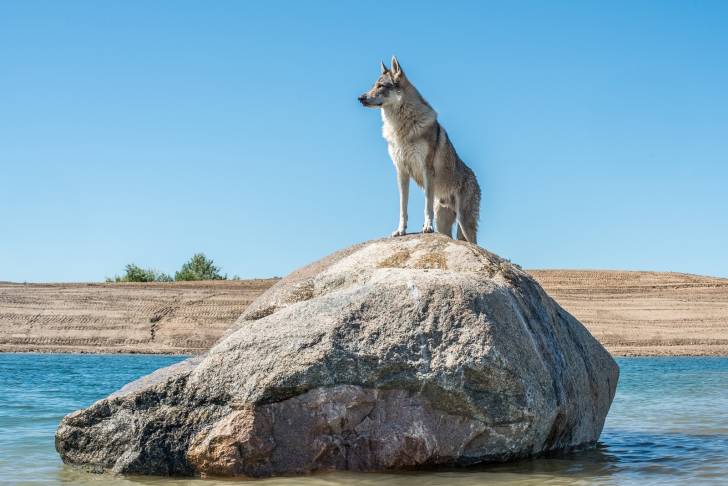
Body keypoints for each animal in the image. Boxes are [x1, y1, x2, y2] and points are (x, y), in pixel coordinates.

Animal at [358, 56, 481, 244]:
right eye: (373, 85)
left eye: (381, 86)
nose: (360, 98)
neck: (401, 129)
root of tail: (475, 179)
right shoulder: (401, 172)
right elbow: (403, 207)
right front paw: (400, 230)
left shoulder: (427, 169)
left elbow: (426, 205)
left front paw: (427, 227)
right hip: (444, 223)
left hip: (465, 223)